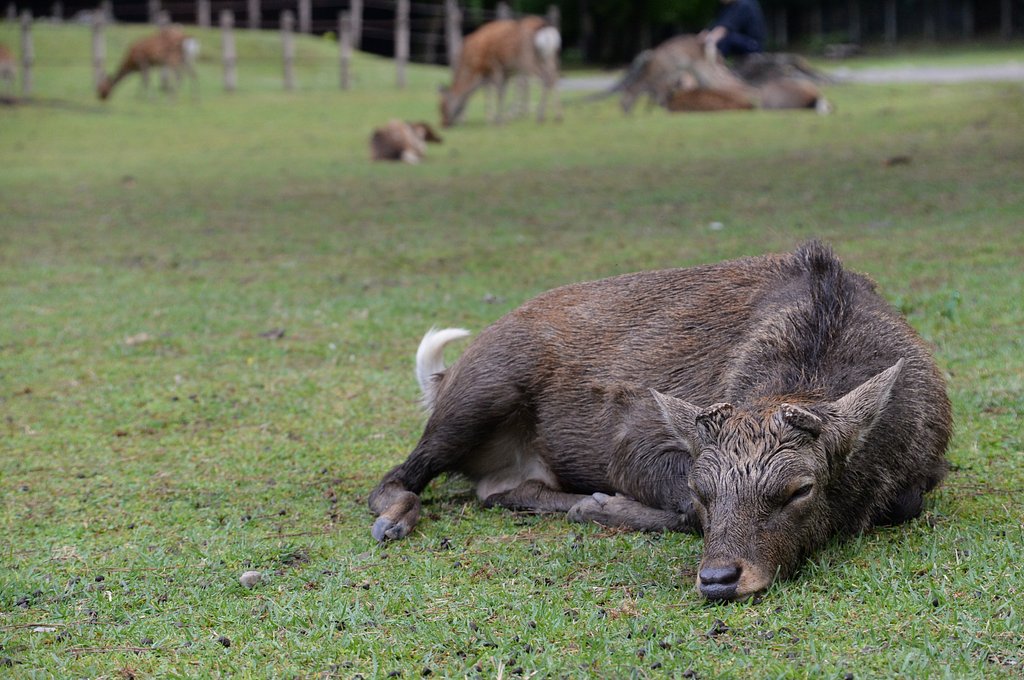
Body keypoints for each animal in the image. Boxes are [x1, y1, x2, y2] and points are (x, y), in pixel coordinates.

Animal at [368, 242, 952, 602]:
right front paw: (607, 506)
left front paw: (598, 505)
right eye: (703, 487)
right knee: (395, 477)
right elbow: (680, 507)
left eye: (800, 488)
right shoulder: (635, 438)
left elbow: (905, 503)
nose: (718, 578)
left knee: (495, 491)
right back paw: (396, 519)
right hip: (480, 391)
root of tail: (443, 378)